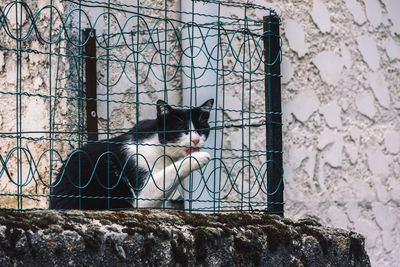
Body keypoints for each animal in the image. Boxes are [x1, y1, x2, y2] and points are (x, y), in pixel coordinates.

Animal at [48, 99, 214, 210]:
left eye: (201, 129)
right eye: (181, 128)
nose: (196, 140)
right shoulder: (139, 187)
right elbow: (172, 171)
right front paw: (199, 157)